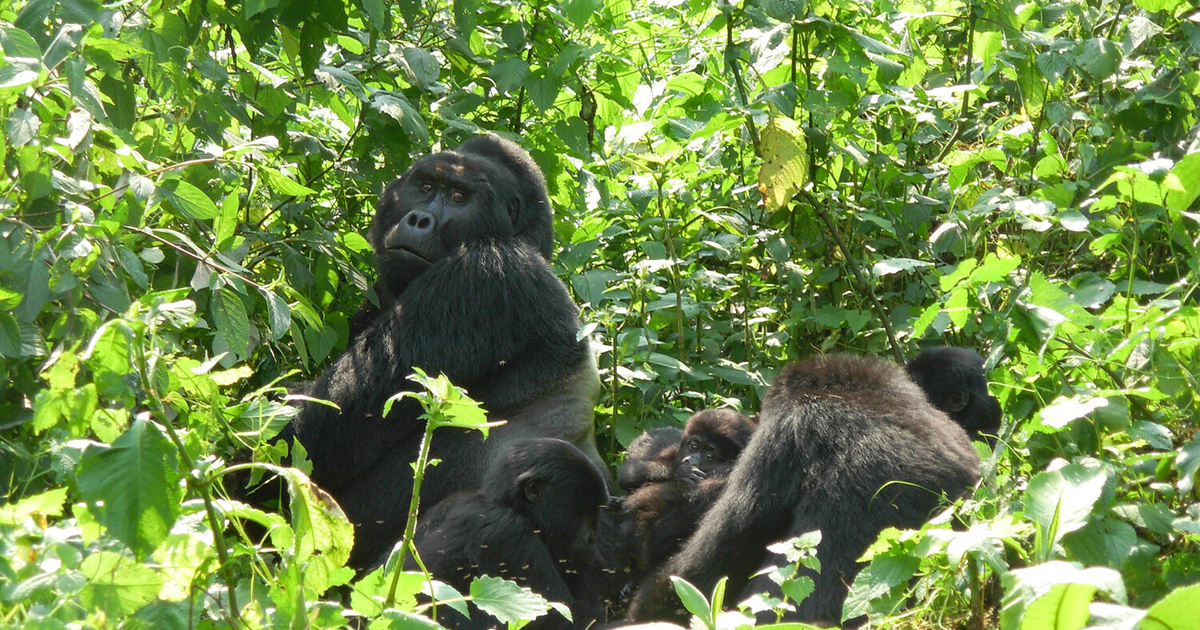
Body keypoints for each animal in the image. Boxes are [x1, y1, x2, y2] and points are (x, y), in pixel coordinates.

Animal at [420, 436, 609, 628]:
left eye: (594, 512)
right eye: (581, 512)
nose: (591, 540)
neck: (512, 506)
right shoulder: (507, 532)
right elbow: (559, 616)